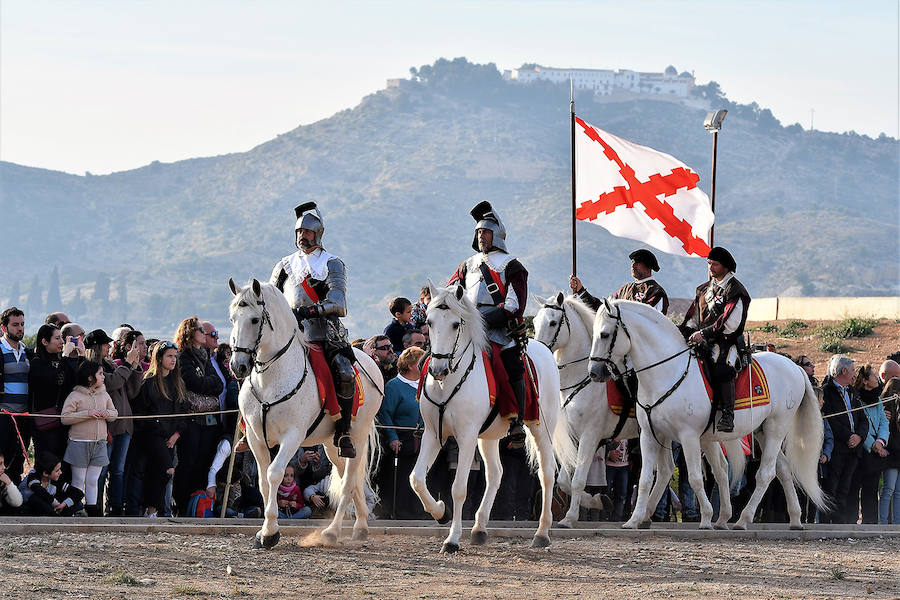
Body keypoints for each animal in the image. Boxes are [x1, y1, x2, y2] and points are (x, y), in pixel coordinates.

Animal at [229, 278, 384, 548]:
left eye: (255, 320)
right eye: (232, 318)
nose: (238, 366)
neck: (271, 379)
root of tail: (371, 363)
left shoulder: (292, 436)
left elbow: (274, 474)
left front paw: (270, 533)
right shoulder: (256, 439)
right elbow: (262, 482)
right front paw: (265, 530)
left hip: (357, 435)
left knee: (347, 482)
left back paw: (332, 531)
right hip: (332, 444)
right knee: (349, 479)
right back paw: (361, 526)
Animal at [410, 284, 576, 552]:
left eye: (455, 324)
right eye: (429, 322)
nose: (437, 370)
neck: (448, 383)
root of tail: (544, 350)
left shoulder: (466, 437)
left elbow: (459, 488)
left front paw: (452, 539)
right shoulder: (433, 434)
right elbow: (416, 479)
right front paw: (441, 513)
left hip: (541, 429)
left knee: (547, 473)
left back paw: (542, 533)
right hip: (488, 437)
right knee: (496, 474)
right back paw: (479, 528)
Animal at [532, 292, 736, 528]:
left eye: (552, 322)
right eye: (535, 322)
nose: (538, 352)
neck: (581, 379)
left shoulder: (590, 435)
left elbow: (577, 480)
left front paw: (572, 516)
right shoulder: (575, 437)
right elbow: (565, 481)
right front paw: (596, 502)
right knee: (695, 468)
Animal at [588, 298, 828, 528]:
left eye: (604, 334)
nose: (594, 373)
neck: (668, 372)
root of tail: (795, 367)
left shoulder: (689, 436)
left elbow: (695, 478)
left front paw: (705, 518)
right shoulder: (650, 435)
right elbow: (646, 478)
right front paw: (634, 520)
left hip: (776, 428)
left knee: (766, 473)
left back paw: (743, 520)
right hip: (762, 431)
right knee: (784, 469)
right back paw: (794, 519)